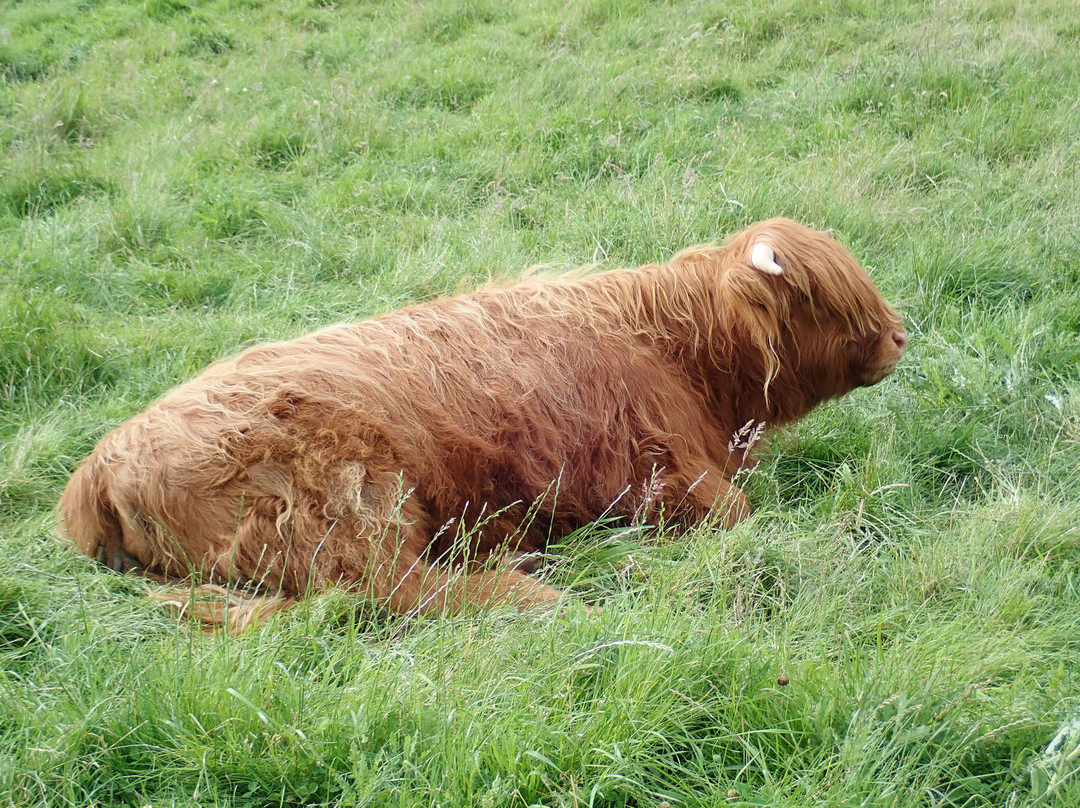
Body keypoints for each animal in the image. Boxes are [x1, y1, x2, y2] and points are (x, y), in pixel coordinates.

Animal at [56, 218, 902, 626]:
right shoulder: (666, 475)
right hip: (344, 504)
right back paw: (537, 593)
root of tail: (99, 463)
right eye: (825, 300)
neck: (676, 352)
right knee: (392, 593)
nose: (900, 337)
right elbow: (741, 516)